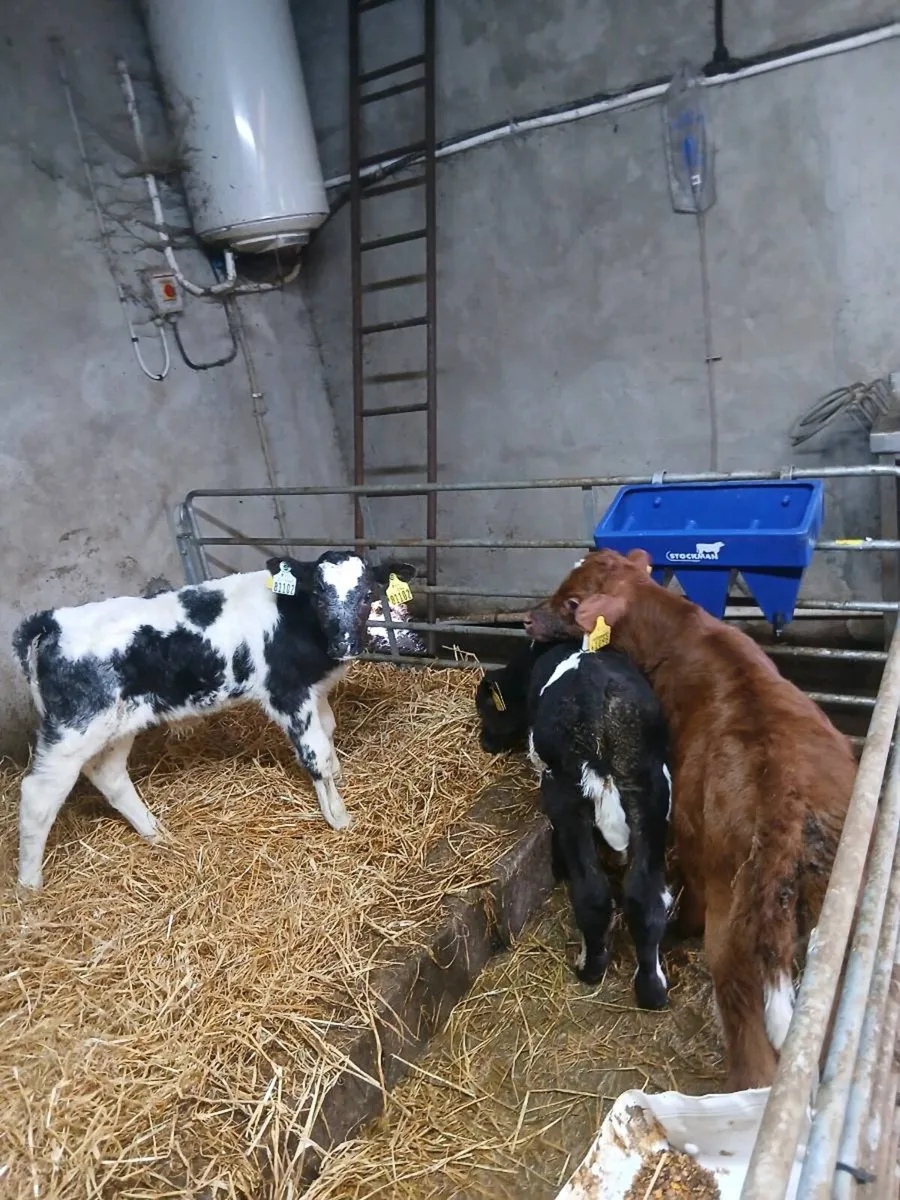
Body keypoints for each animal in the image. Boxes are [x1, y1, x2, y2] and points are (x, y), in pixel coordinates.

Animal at [12, 552, 415, 890]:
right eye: (318, 594)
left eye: (367, 594)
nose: (344, 645)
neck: (295, 622)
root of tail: (53, 621)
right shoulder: (286, 694)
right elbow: (315, 754)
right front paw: (338, 818)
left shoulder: (315, 691)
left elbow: (328, 733)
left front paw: (340, 777)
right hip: (74, 728)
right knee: (38, 794)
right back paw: (30, 887)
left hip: (117, 723)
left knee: (107, 774)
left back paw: (156, 833)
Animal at [476, 638, 673, 1010]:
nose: (486, 742)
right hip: (651, 794)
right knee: (644, 897)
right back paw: (652, 990)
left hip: (565, 796)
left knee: (592, 893)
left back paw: (589, 968)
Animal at [525, 547, 856, 1090]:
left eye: (572, 602)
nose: (528, 618)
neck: (686, 636)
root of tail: (786, 815)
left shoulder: (683, 824)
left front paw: (681, 926)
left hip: (733, 937)